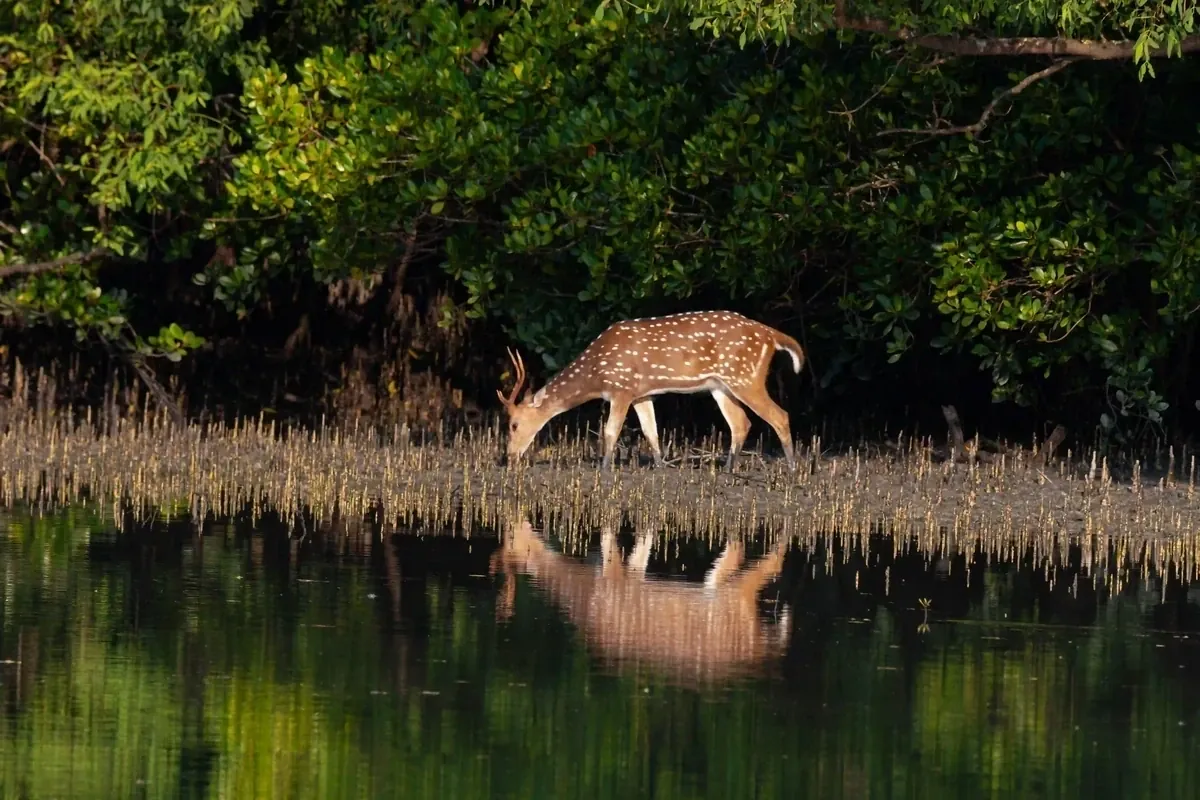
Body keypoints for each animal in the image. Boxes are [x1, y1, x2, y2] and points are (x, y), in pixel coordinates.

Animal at [496, 310, 805, 470]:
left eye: (513, 424)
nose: (508, 457)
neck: (596, 373)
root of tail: (771, 335)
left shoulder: (621, 388)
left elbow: (611, 430)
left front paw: (604, 468)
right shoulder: (641, 393)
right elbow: (650, 430)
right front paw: (659, 466)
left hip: (745, 377)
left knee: (780, 415)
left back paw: (791, 468)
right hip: (721, 386)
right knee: (741, 422)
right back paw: (728, 470)